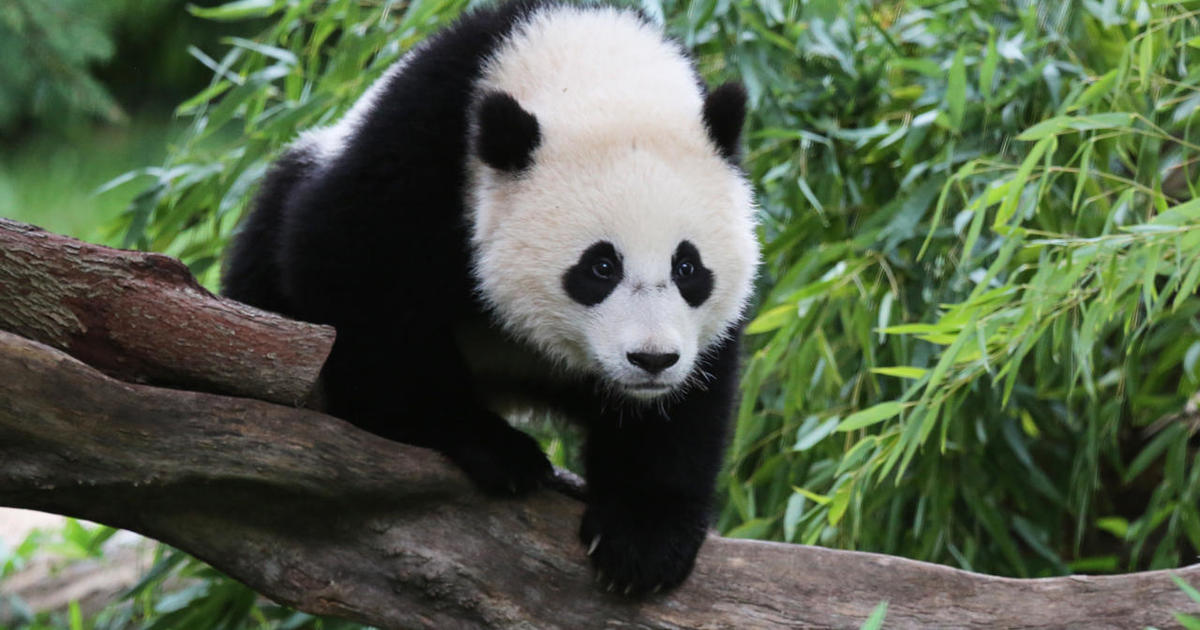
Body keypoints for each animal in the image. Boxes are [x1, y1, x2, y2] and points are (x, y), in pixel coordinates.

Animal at [223, 0, 758, 595]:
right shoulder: (420, 147)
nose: (652, 360)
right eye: (600, 267)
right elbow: (353, 278)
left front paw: (642, 540)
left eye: (687, 267)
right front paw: (492, 448)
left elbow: (689, 402)